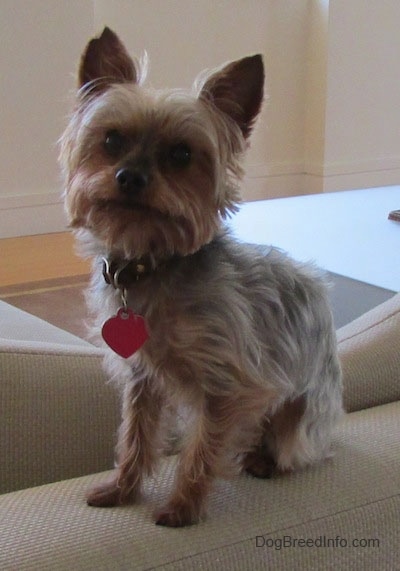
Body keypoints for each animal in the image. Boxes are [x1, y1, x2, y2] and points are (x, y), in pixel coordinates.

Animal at [60, 26, 344, 528]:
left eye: (181, 154)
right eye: (111, 140)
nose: (129, 177)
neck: (151, 264)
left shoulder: (230, 384)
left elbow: (202, 448)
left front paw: (182, 507)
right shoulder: (141, 378)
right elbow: (135, 436)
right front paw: (122, 489)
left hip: (305, 415)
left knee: (297, 446)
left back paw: (265, 460)